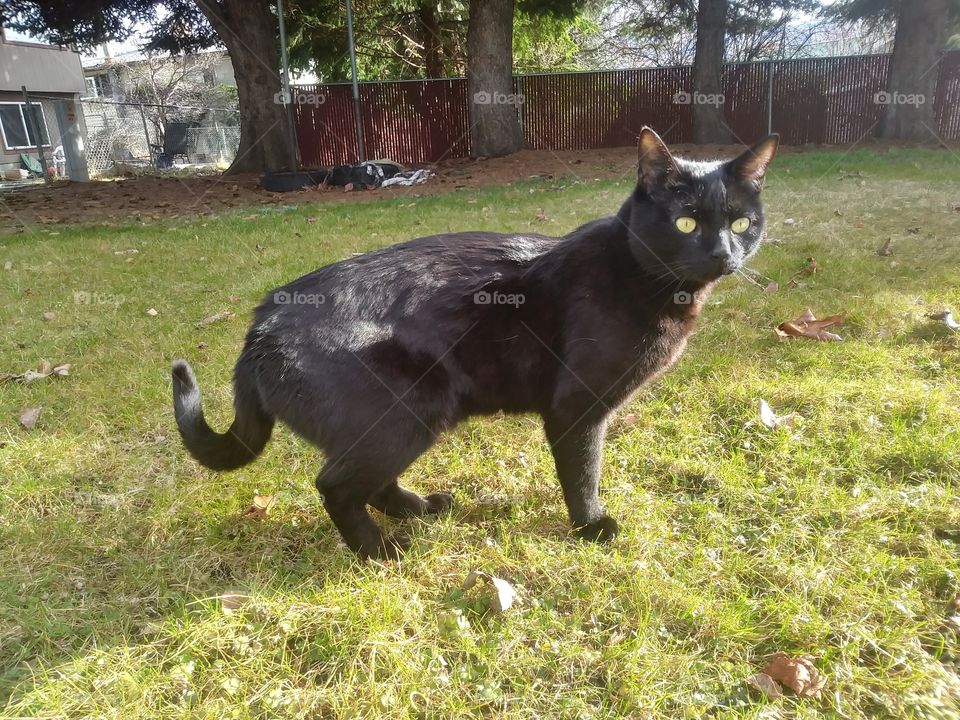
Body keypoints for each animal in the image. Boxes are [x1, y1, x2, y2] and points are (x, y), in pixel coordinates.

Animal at [172, 128, 776, 556]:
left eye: (741, 224)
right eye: (685, 222)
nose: (722, 254)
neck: (640, 278)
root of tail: (261, 324)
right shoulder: (576, 409)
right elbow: (583, 472)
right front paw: (591, 526)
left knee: (364, 481)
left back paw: (419, 508)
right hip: (411, 408)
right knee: (335, 485)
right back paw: (381, 550)